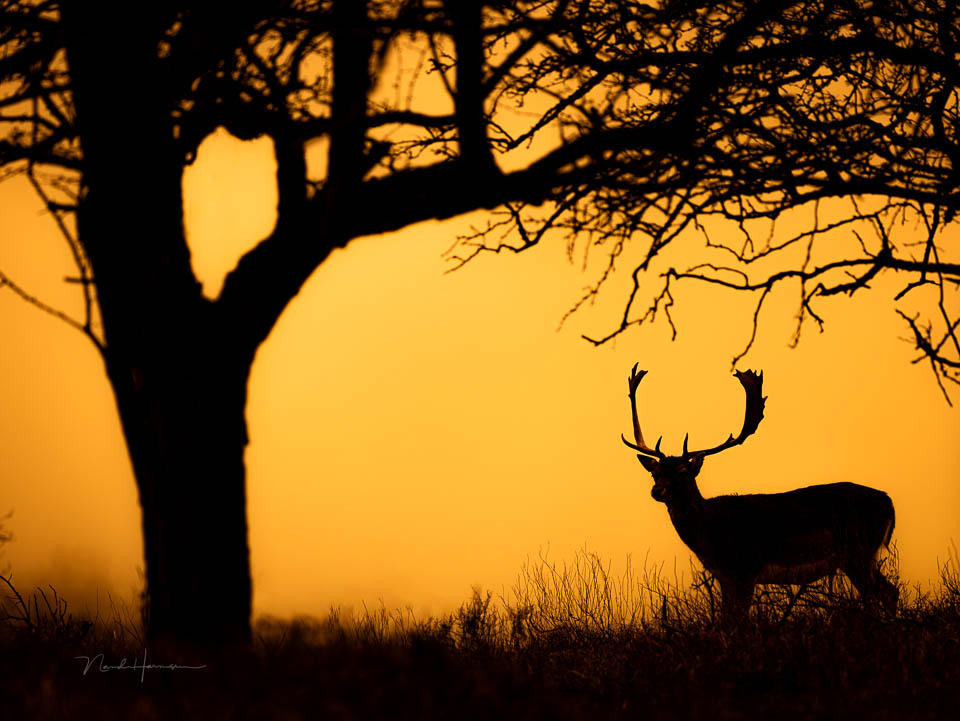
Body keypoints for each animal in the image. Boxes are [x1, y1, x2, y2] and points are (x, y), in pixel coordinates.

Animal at [622, 364, 897, 620]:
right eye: (655, 472)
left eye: (682, 472)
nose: (657, 490)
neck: (711, 533)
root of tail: (888, 501)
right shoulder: (724, 576)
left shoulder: (746, 568)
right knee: (889, 591)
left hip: (857, 550)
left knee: (880, 594)